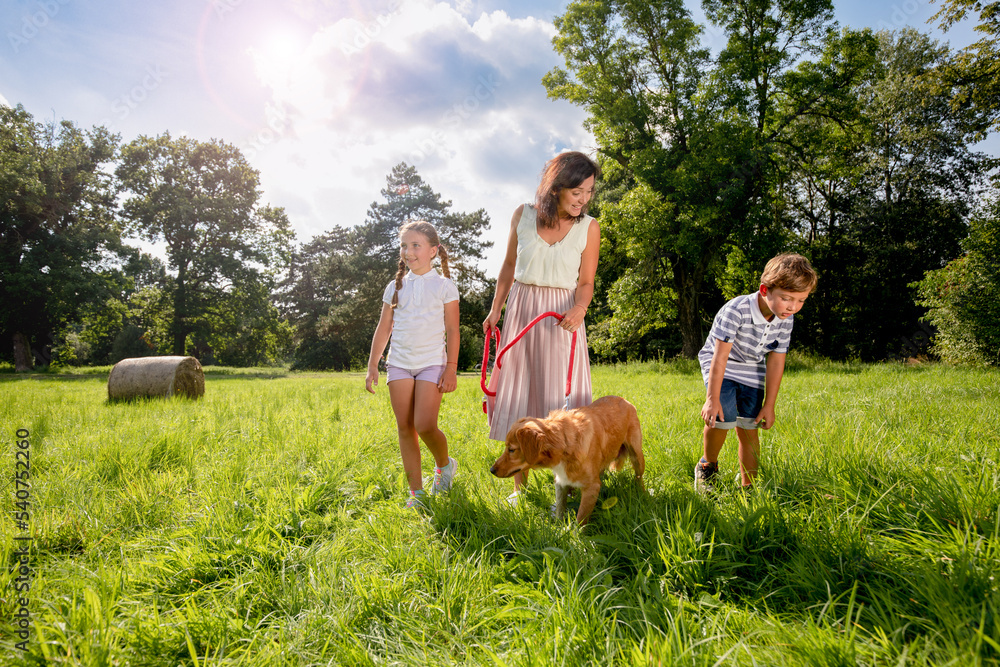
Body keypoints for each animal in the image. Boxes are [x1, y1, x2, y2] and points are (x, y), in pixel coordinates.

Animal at [490, 396, 644, 528]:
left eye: (511, 449)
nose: (491, 470)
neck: (565, 447)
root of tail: (623, 399)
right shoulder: (561, 482)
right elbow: (560, 508)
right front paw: (557, 530)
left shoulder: (592, 488)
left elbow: (581, 518)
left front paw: (576, 538)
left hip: (637, 456)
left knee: (638, 476)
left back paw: (642, 493)